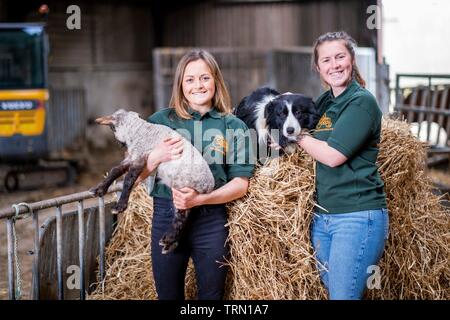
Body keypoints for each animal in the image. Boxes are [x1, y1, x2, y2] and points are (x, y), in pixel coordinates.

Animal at [89, 109, 214, 254]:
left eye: (112, 128)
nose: (120, 144)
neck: (138, 129)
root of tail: (209, 186)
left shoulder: (140, 156)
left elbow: (129, 179)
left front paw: (119, 206)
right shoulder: (132, 157)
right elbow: (115, 170)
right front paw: (98, 189)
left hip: (183, 188)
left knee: (182, 215)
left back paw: (167, 239)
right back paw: (170, 244)